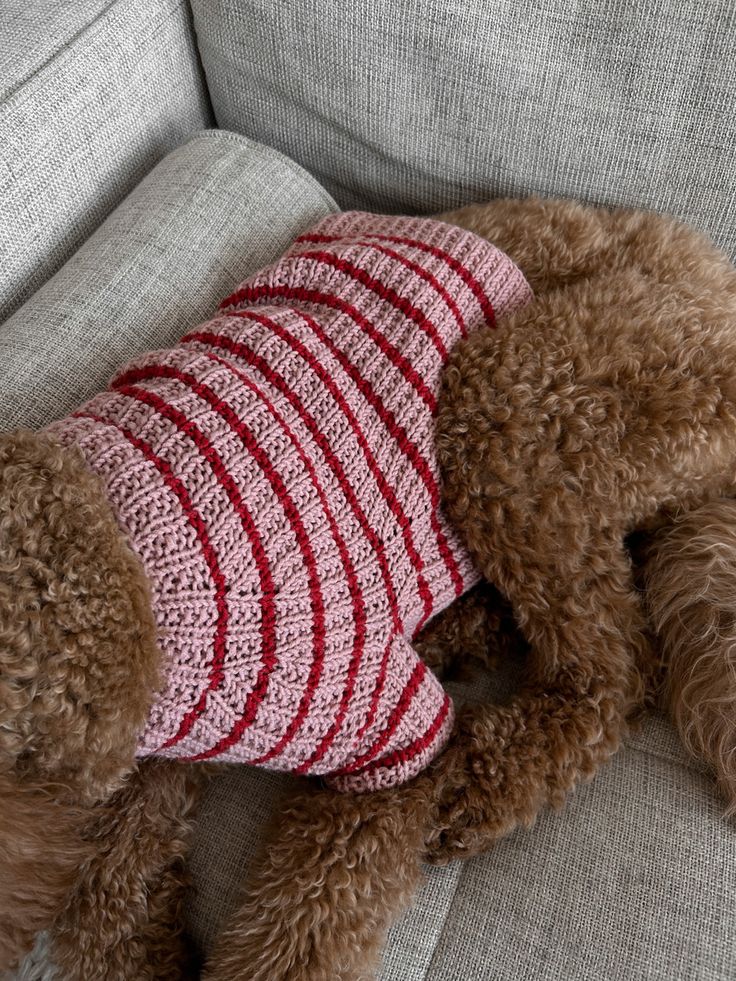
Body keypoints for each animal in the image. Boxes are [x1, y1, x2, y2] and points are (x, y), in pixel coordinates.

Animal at [1, 193, 736, 980]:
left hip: (514, 399)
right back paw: (458, 633)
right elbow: (106, 890)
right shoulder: (176, 741)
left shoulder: (389, 735)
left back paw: (478, 782)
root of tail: (700, 258)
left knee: (616, 674)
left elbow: (306, 916)